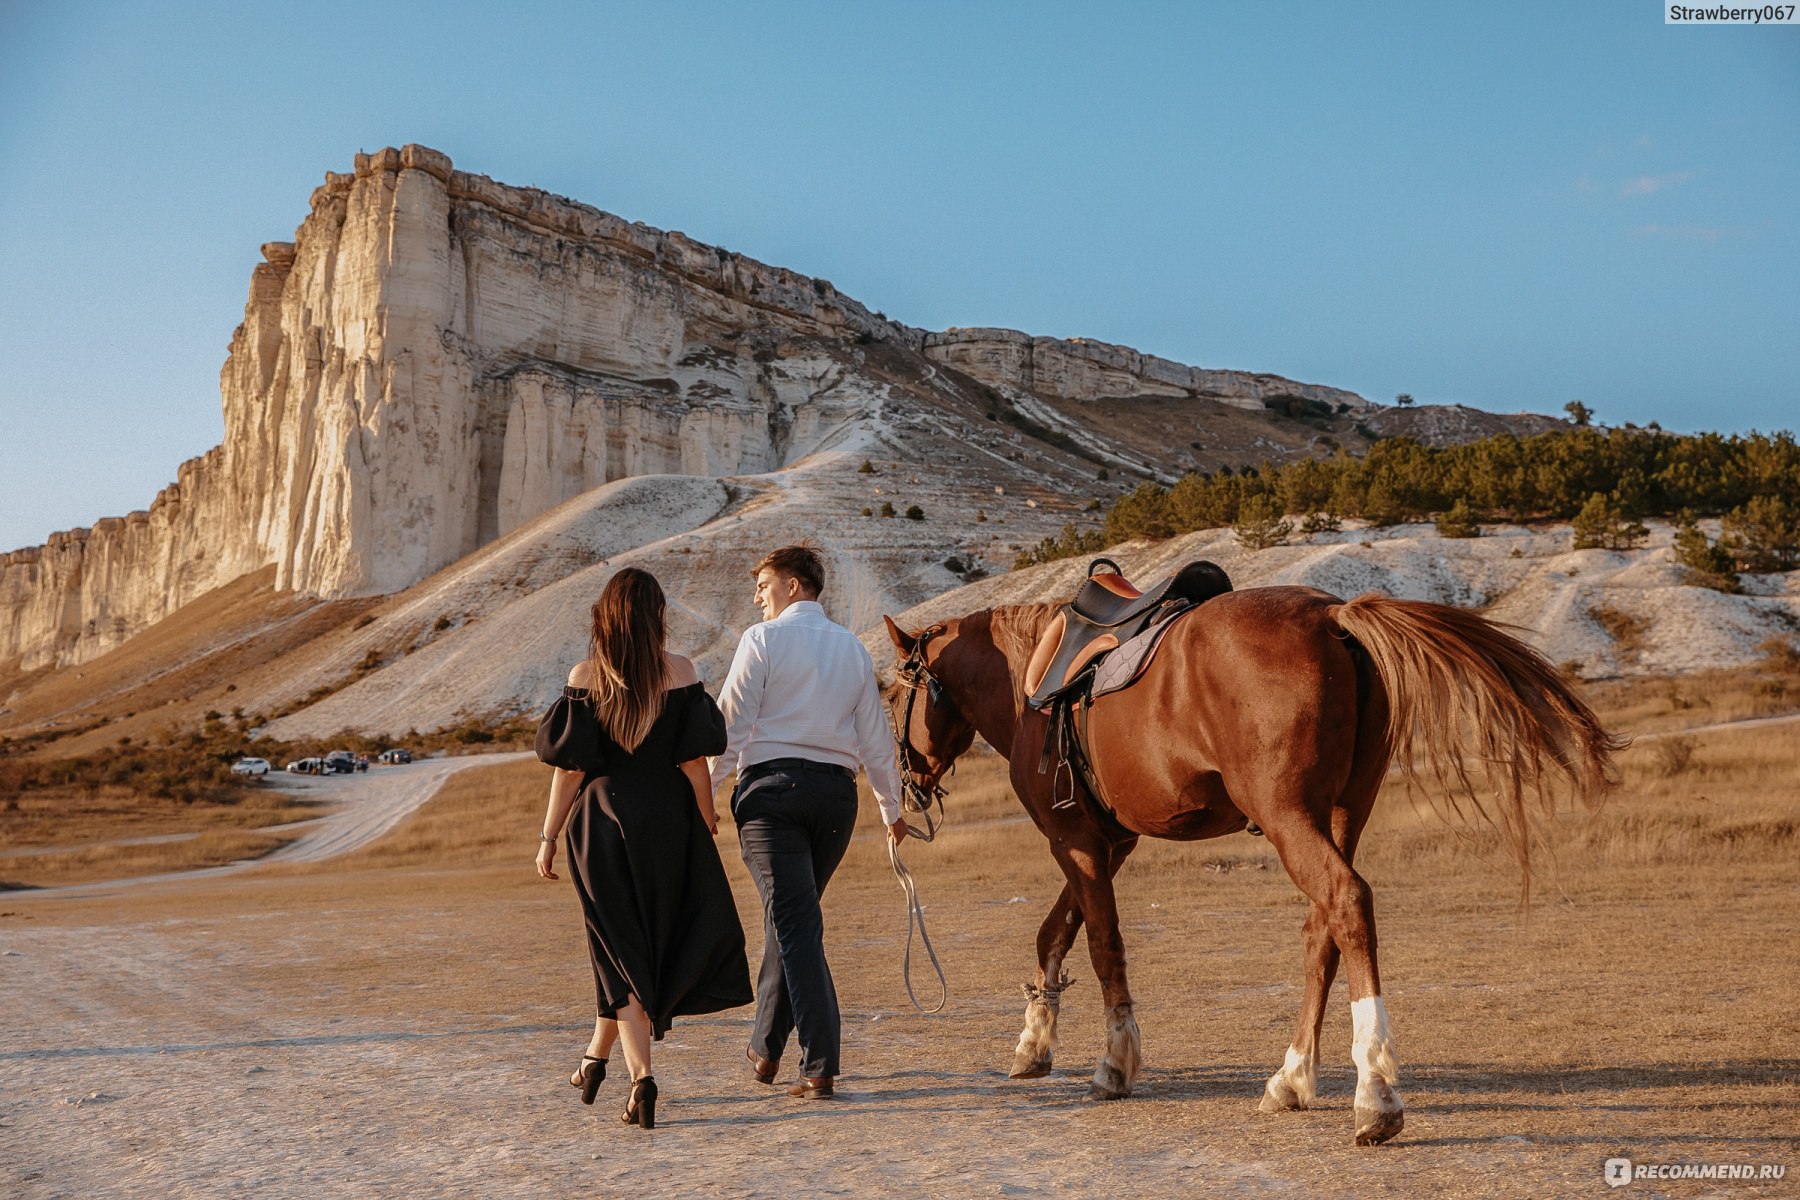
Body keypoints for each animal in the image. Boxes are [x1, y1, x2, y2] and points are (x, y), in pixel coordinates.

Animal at [878, 586, 1627, 1151]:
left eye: (890, 694)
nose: (906, 778)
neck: (1031, 682)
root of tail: (1332, 616)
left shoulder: (1078, 842)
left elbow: (1100, 943)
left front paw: (1115, 1061)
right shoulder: (1108, 843)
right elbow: (1055, 931)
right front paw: (1034, 1039)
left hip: (1289, 816)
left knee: (1346, 902)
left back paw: (1375, 1095)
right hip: (1342, 811)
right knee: (1324, 926)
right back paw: (1291, 1078)